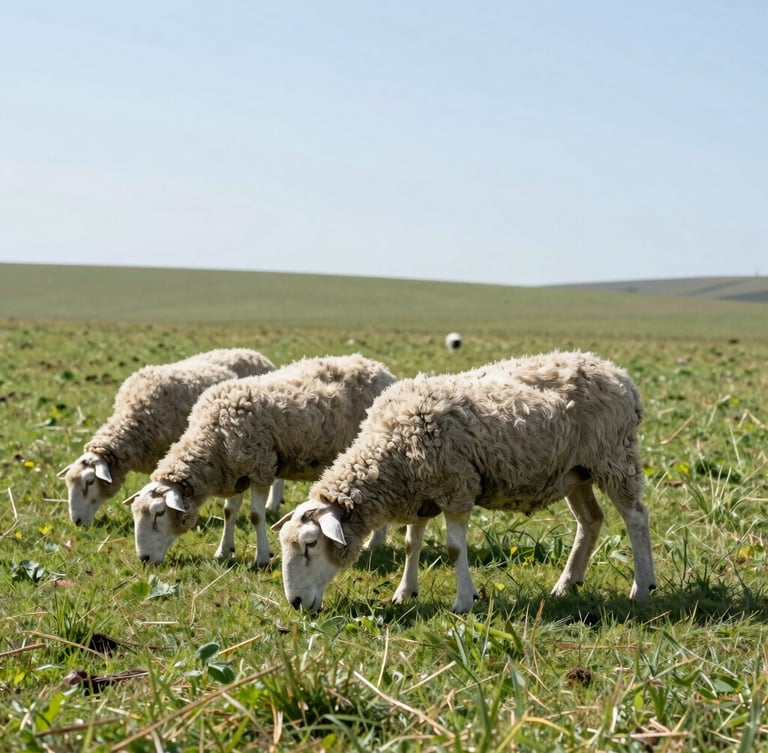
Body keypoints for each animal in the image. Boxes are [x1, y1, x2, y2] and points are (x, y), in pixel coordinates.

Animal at [123, 354, 397, 566]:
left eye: (159, 513)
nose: (144, 559)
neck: (213, 438)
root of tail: (379, 367)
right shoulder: (235, 472)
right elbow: (228, 511)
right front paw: (224, 551)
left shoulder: (260, 467)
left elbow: (256, 516)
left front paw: (262, 557)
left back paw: (375, 542)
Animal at [273, 350, 657, 613]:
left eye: (310, 544)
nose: (295, 603)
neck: (388, 452)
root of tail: (619, 375)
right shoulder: (420, 493)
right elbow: (412, 544)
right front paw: (404, 592)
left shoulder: (456, 487)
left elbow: (454, 549)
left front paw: (463, 601)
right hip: (575, 472)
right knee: (590, 521)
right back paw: (567, 584)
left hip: (613, 457)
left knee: (636, 517)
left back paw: (642, 587)